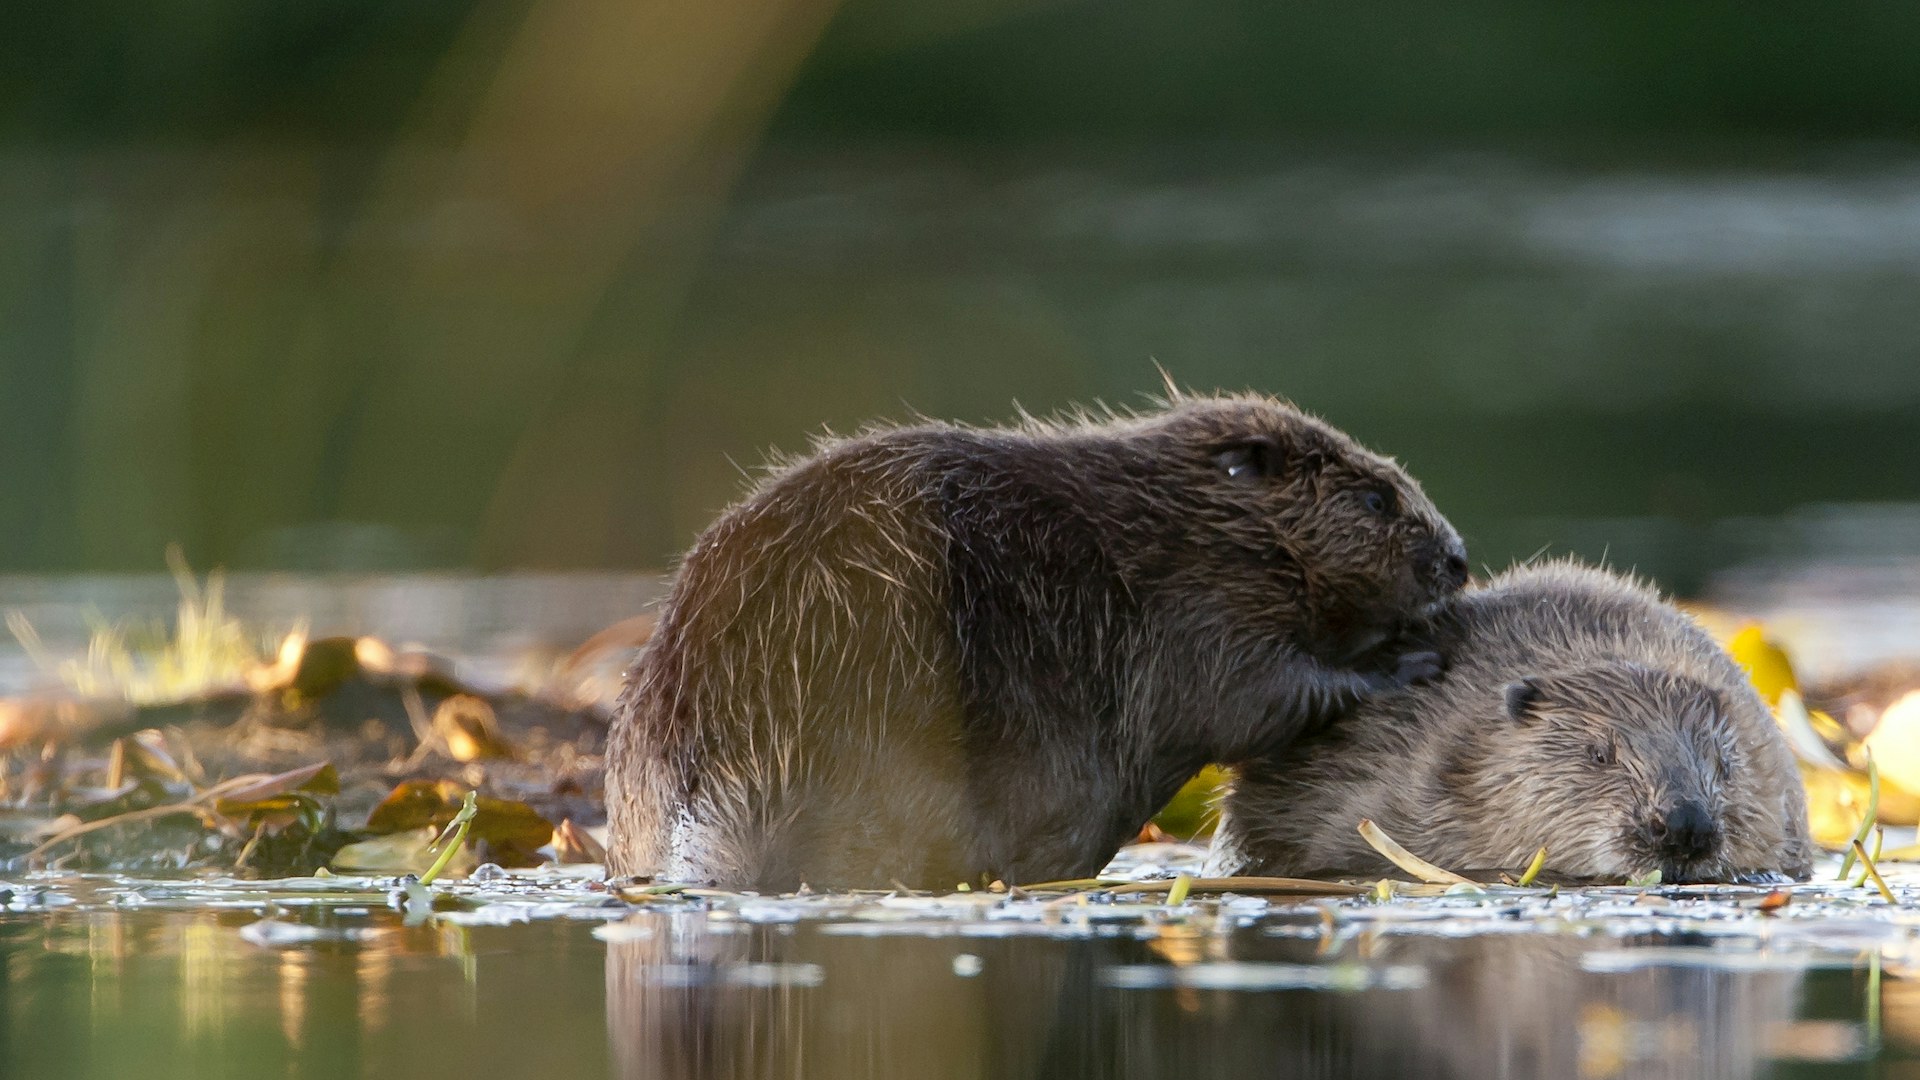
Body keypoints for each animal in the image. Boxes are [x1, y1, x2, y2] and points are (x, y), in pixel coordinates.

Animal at [606, 390, 1459, 887]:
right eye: (1376, 499)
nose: (1455, 559)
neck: (1176, 526)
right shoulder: (1199, 611)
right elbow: (1255, 699)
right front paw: (1408, 659)